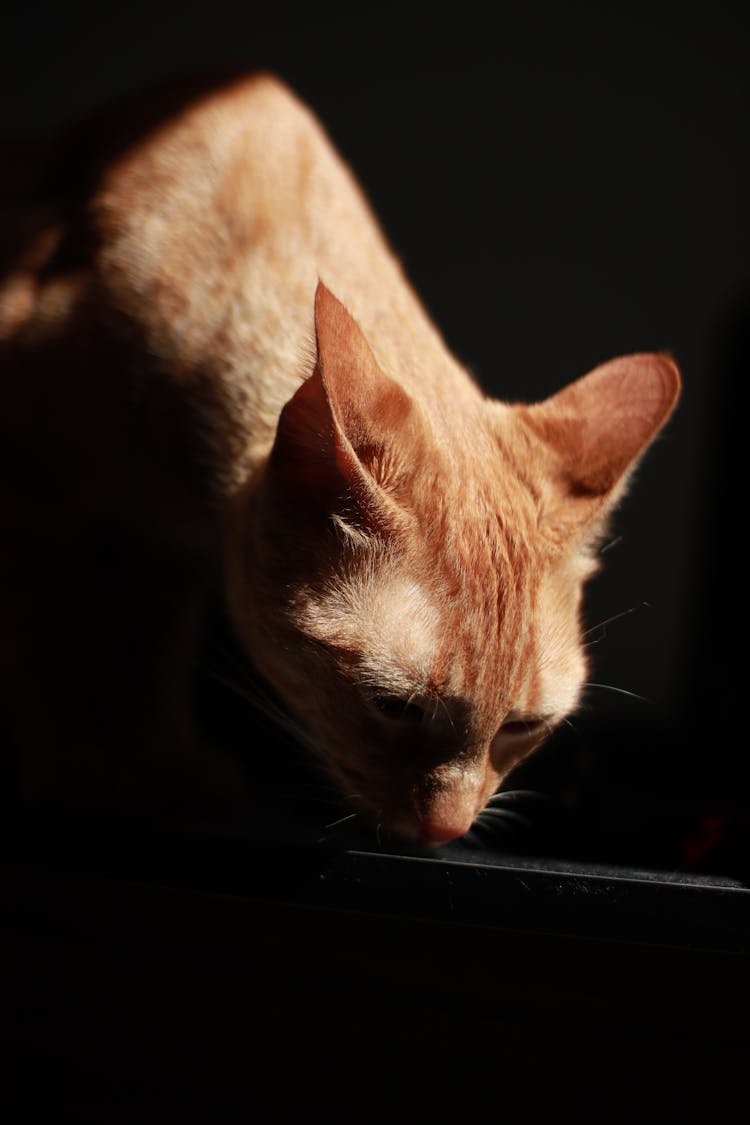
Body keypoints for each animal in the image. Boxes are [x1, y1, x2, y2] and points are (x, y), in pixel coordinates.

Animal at [0, 72, 679, 846]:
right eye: (393, 706)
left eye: (523, 726)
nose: (446, 831)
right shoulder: (37, 501)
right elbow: (52, 641)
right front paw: (80, 776)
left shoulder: (163, 559)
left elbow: (151, 655)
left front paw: (160, 770)